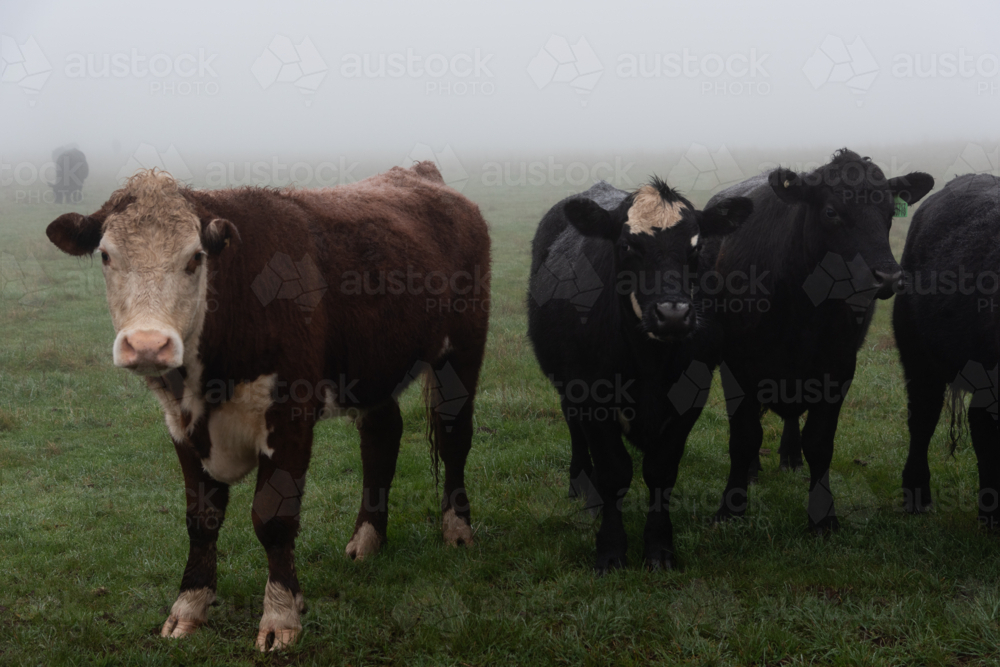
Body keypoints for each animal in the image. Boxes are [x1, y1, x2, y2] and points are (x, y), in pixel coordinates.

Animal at [44, 164, 490, 651]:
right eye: (107, 256)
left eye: (195, 258)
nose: (148, 344)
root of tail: (421, 174)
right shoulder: (181, 425)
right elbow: (201, 519)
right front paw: (189, 607)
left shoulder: (290, 415)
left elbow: (274, 518)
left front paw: (280, 616)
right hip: (374, 368)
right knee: (382, 439)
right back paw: (366, 541)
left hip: (461, 353)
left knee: (454, 437)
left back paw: (457, 531)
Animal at [528, 178, 753, 571]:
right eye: (627, 245)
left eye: (695, 248)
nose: (673, 314)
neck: (650, 364)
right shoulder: (591, 395)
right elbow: (613, 471)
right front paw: (611, 549)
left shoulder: (691, 396)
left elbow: (661, 471)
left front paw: (660, 547)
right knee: (574, 428)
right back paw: (581, 489)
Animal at [703, 149, 933, 532]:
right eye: (830, 212)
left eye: (889, 213)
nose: (887, 276)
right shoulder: (736, 364)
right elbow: (744, 435)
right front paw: (730, 507)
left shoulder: (837, 367)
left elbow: (820, 442)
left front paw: (823, 516)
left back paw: (790, 457)